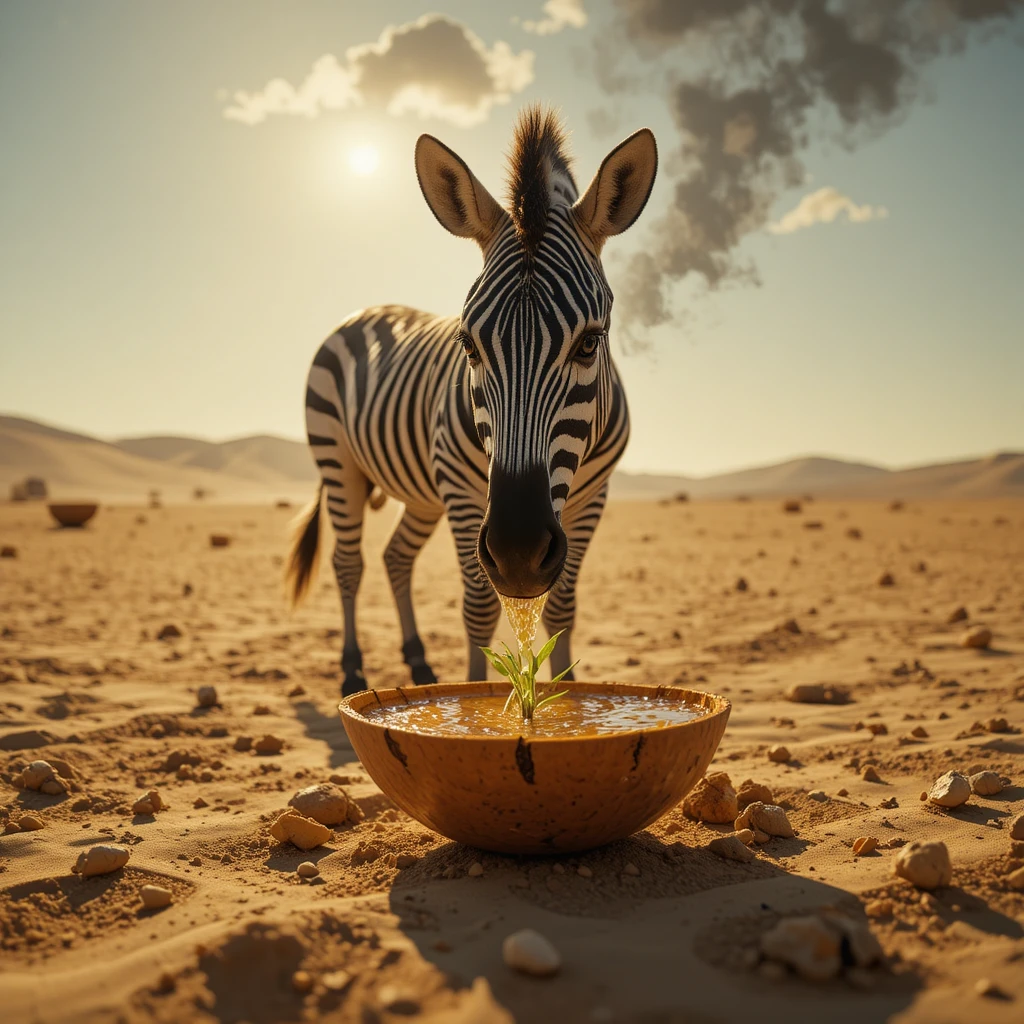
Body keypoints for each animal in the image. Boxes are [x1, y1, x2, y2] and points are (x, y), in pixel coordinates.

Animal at [289, 106, 657, 695]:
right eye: (468, 344)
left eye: (589, 342)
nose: (519, 553)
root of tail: (363, 312)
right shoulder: (463, 492)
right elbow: (479, 608)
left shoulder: (593, 495)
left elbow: (563, 609)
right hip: (338, 460)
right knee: (349, 563)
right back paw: (351, 668)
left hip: (419, 492)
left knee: (395, 557)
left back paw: (418, 661)